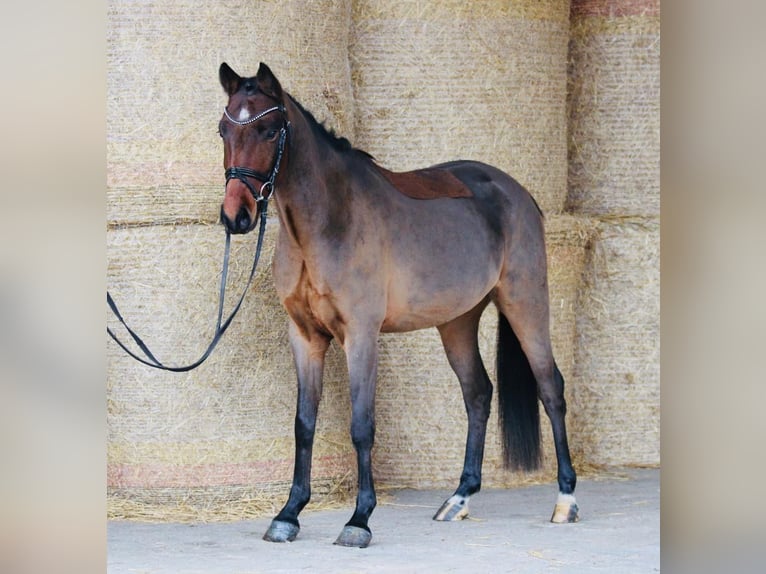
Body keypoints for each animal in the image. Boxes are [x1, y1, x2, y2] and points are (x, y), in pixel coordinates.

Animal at [219, 62, 580, 548]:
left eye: (269, 130)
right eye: (223, 130)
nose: (236, 216)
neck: (328, 221)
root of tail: (517, 192)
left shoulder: (361, 336)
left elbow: (362, 425)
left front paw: (359, 520)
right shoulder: (306, 337)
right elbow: (303, 424)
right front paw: (289, 514)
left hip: (526, 304)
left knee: (551, 388)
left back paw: (566, 500)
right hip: (458, 322)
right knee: (478, 393)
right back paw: (459, 499)